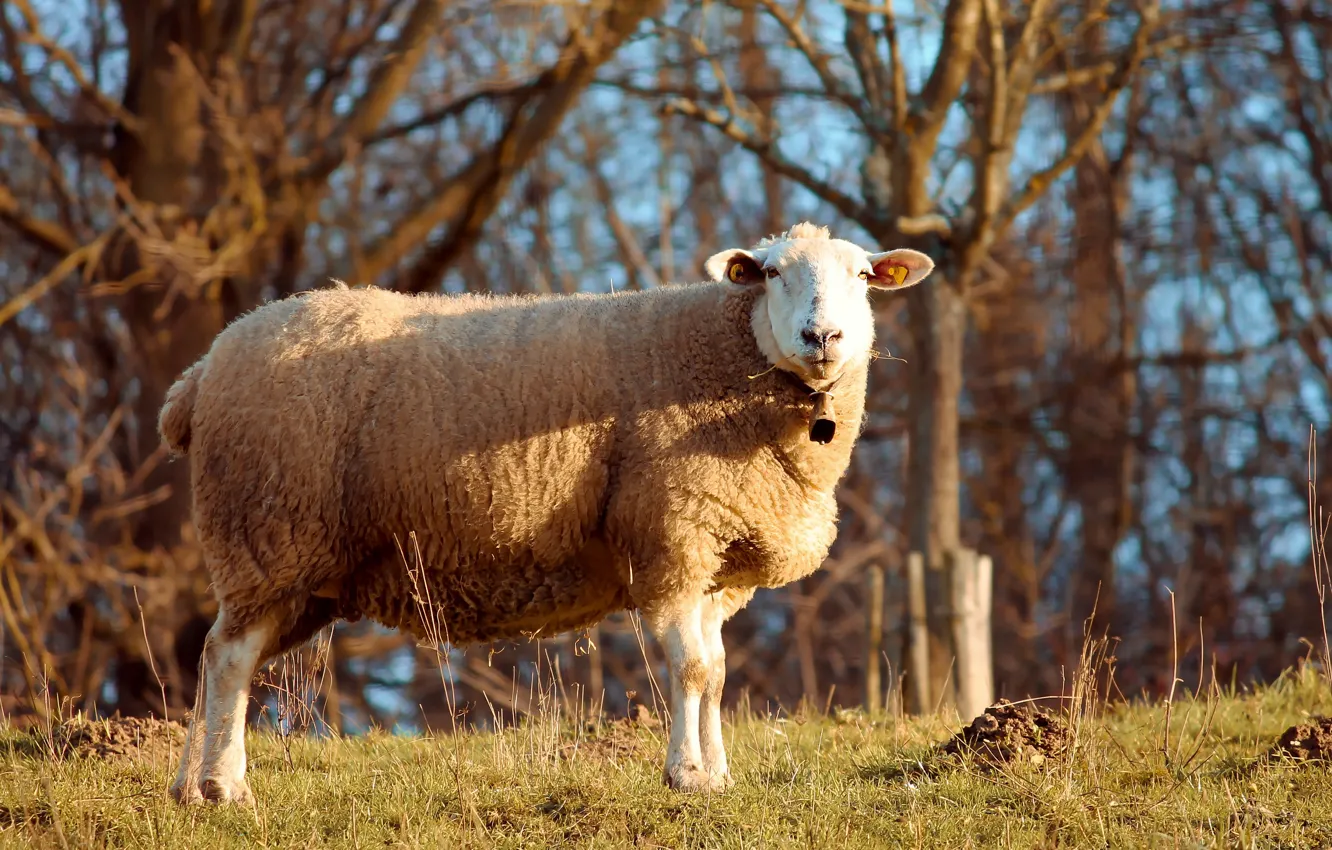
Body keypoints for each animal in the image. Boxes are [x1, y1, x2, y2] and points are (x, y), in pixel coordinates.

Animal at [158, 221, 935, 804]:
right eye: (771, 273)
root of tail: (199, 373)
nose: (822, 338)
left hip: (300, 572)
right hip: (267, 532)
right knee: (229, 657)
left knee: (217, 658)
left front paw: (715, 774)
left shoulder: (716, 561)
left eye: (863, 276)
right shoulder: (671, 536)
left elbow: (713, 672)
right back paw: (226, 788)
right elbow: (688, 671)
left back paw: (189, 786)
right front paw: (685, 775)